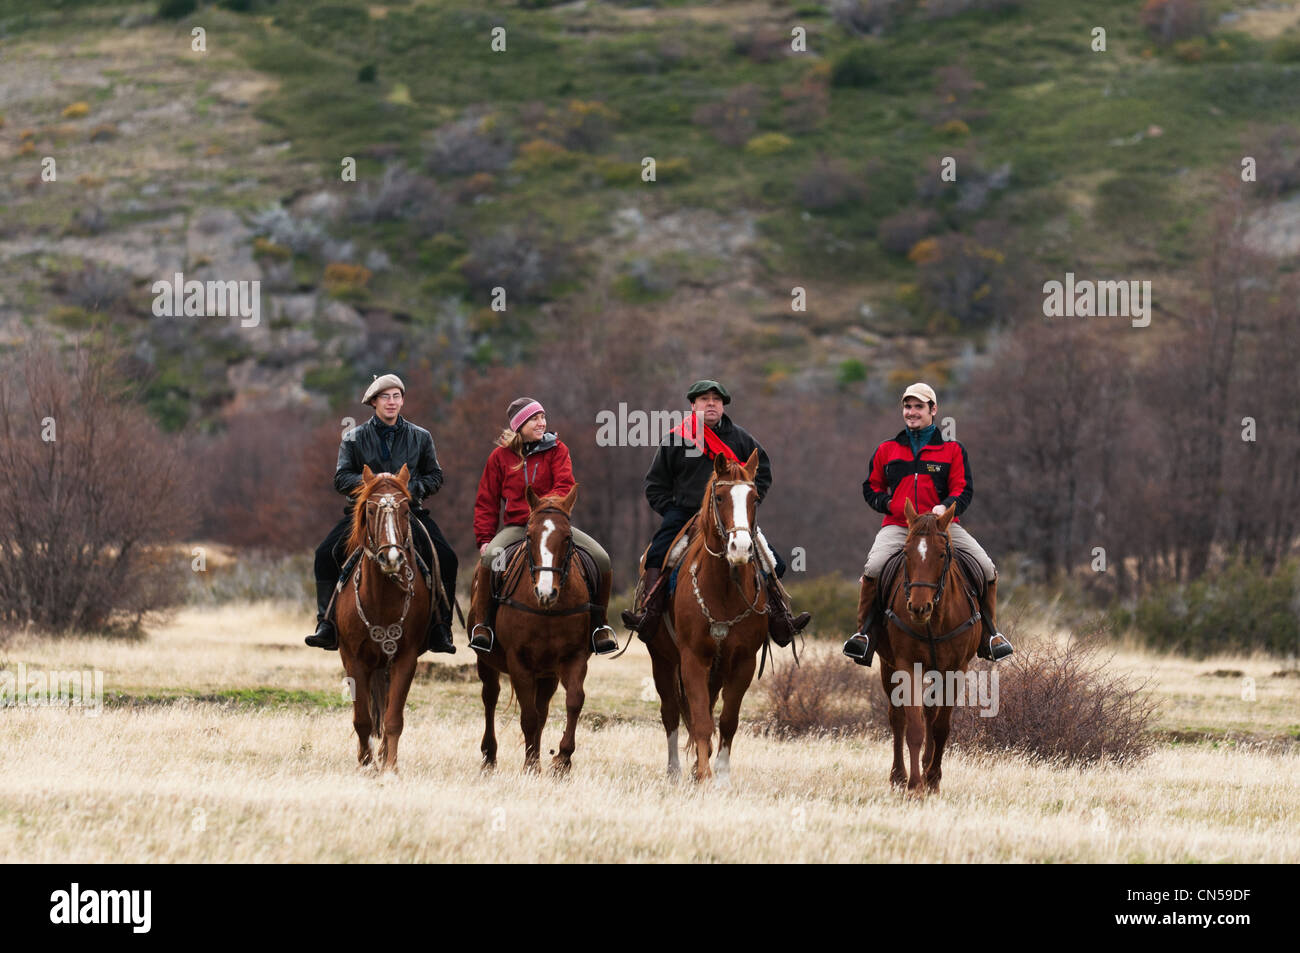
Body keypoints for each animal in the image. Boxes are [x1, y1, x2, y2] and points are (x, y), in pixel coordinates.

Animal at [335, 465, 431, 769]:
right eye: (370, 510)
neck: (381, 599)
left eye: (406, 510)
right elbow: (363, 719)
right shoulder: (353, 659)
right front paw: (366, 764)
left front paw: (390, 766)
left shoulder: (405, 658)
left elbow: (393, 718)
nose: (391, 558)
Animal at [473, 483, 603, 774]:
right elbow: (528, 716)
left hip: (548, 674)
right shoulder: (519, 662)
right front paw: (531, 765)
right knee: (490, 698)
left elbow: (573, 700)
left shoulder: (574, 658)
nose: (546, 592)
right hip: (487, 662)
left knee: (542, 709)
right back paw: (489, 756)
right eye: (530, 536)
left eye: (567, 537)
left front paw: (562, 759)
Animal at [644, 447, 764, 780]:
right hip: (662, 660)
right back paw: (674, 770)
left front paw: (719, 774)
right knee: (671, 712)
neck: (723, 586)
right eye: (720, 497)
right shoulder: (693, 658)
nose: (740, 548)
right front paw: (703, 774)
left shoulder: (743, 662)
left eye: (755, 498)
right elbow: (699, 719)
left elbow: (727, 720)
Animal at [878, 499, 977, 795]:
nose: (919, 608)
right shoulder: (907, 666)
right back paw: (899, 776)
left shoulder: (956, 669)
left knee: (931, 713)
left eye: (942, 554)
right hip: (887, 667)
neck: (934, 621)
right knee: (898, 718)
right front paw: (915, 786)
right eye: (906, 553)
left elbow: (940, 727)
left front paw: (932, 778)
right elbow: (914, 728)